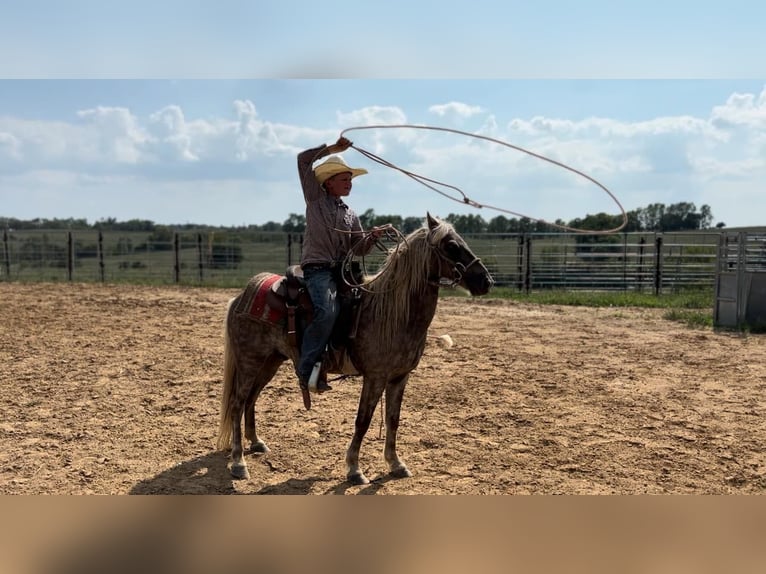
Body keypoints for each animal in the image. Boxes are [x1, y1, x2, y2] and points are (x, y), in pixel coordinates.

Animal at [216, 213, 494, 485]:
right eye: (452, 246)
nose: (486, 281)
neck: (393, 313)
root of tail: (242, 297)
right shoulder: (375, 377)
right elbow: (363, 420)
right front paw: (354, 469)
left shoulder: (400, 378)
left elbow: (393, 420)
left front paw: (396, 464)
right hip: (250, 360)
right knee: (237, 402)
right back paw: (238, 462)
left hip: (270, 361)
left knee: (251, 398)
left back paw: (256, 442)